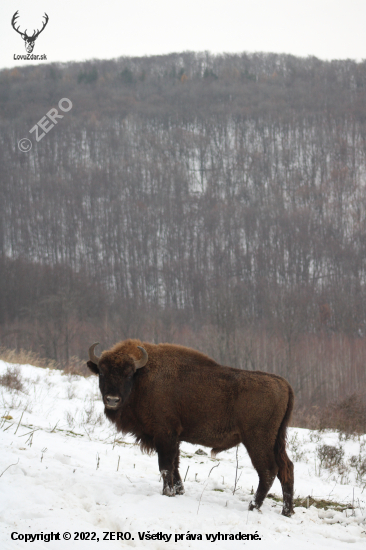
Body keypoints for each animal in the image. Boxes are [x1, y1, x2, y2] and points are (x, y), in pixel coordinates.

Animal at [88, 340, 294, 516]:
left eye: (129, 374)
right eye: (102, 373)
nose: (112, 400)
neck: (143, 375)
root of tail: (284, 384)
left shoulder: (165, 435)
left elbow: (165, 466)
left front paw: (168, 493)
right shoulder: (174, 438)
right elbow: (175, 465)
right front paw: (179, 491)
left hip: (257, 441)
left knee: (268, 471)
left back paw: (252, 506)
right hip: (277, 441)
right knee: (287, 468)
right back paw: (287, 511)